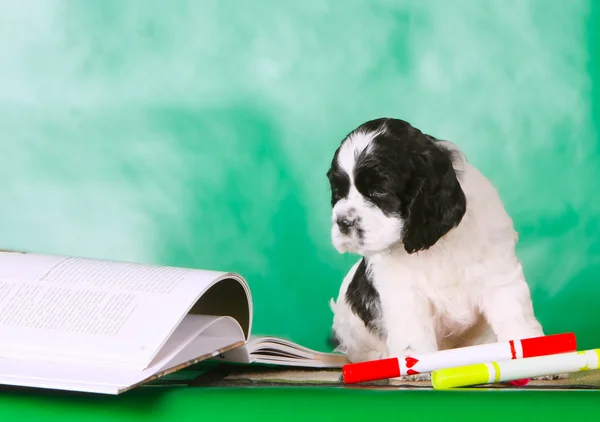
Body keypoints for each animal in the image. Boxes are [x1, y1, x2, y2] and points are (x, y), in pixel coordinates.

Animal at [326, 117, 548, 368]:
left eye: (379, 190)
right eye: (338, 191)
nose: (343, 222)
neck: (438, 244)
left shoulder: (497, 272)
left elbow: (514, 314)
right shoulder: (402, 290)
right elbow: (412, 335)